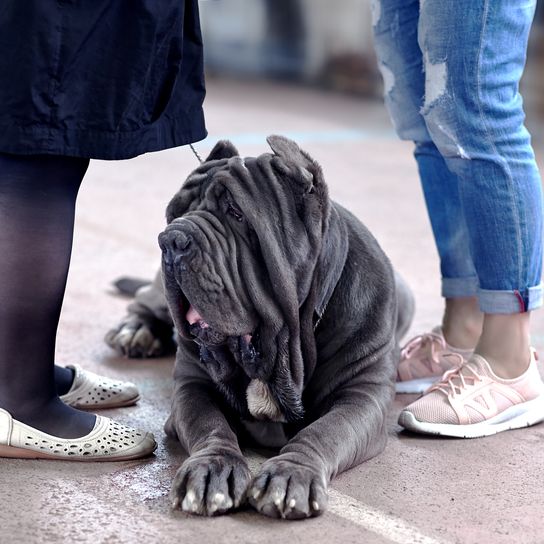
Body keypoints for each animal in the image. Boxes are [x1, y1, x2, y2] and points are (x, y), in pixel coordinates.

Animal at [105, 136, 412, 520]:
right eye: (175, 213)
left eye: (236, 213)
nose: (172, 238)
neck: (283, 351)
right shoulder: (193, 385)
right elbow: (211, 425)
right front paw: (212, 468)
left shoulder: (362, 395)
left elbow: (326, 430)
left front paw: (291, 474)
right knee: (144, 300)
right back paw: (136, 330)